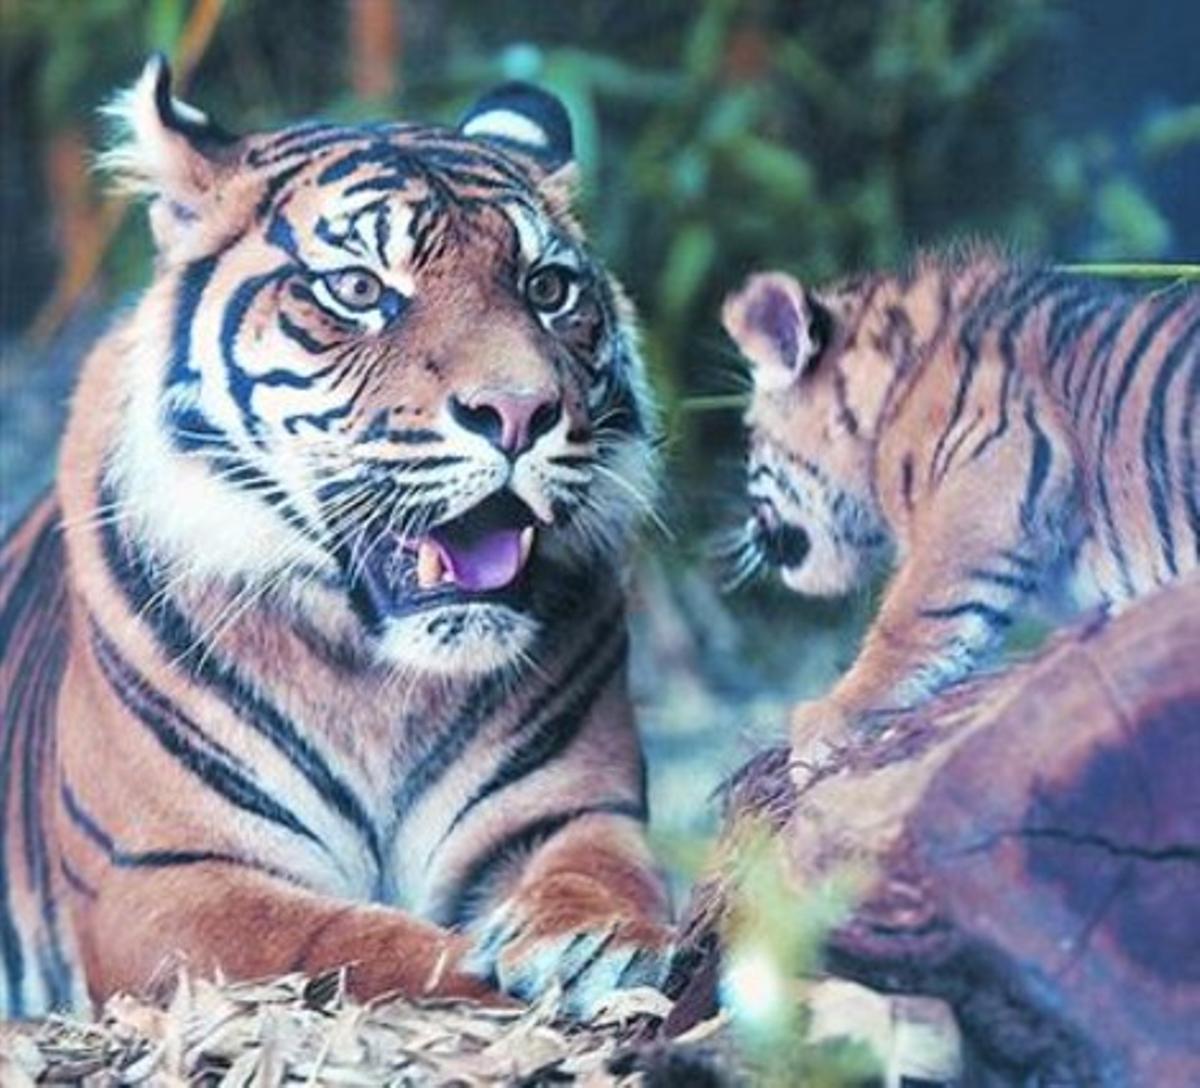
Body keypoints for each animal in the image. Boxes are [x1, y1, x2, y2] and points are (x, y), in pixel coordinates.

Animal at [0, 55, 672, 1020]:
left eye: (547, 290)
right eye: (357, 289)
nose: (519, 411)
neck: (381, 680)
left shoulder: (574, 808)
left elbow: (605, 871)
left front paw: (595, 944)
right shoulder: (168, 878)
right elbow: (357, 945)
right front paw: (493, 979)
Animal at [720, 247, 1199, 771]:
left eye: (749, 437)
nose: (749, 531)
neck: (890, 403)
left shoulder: (976, 518)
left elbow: (902, 630)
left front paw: (823, 719)